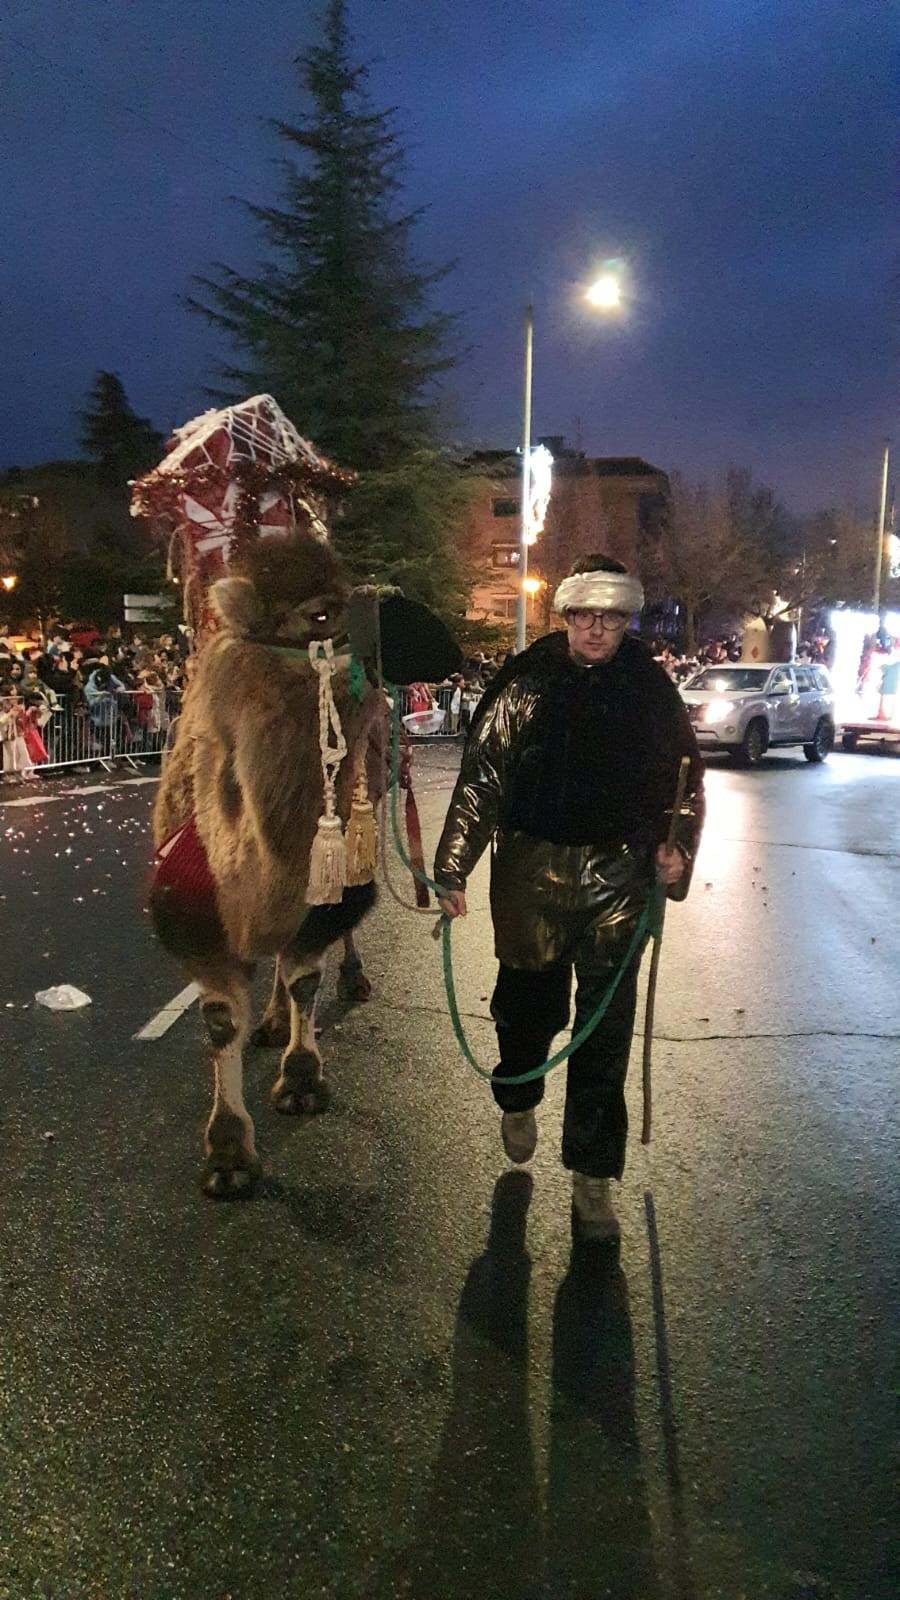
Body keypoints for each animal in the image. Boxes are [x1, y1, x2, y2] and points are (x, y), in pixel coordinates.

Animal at [148, 531, 385, 1196]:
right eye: (320, 614)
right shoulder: (195, 924)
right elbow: (219, 1020)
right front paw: (227, 1156)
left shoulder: (325, 899)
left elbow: (306, 975)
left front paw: (302, 1083)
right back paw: (273, 1021)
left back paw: (350, 980)